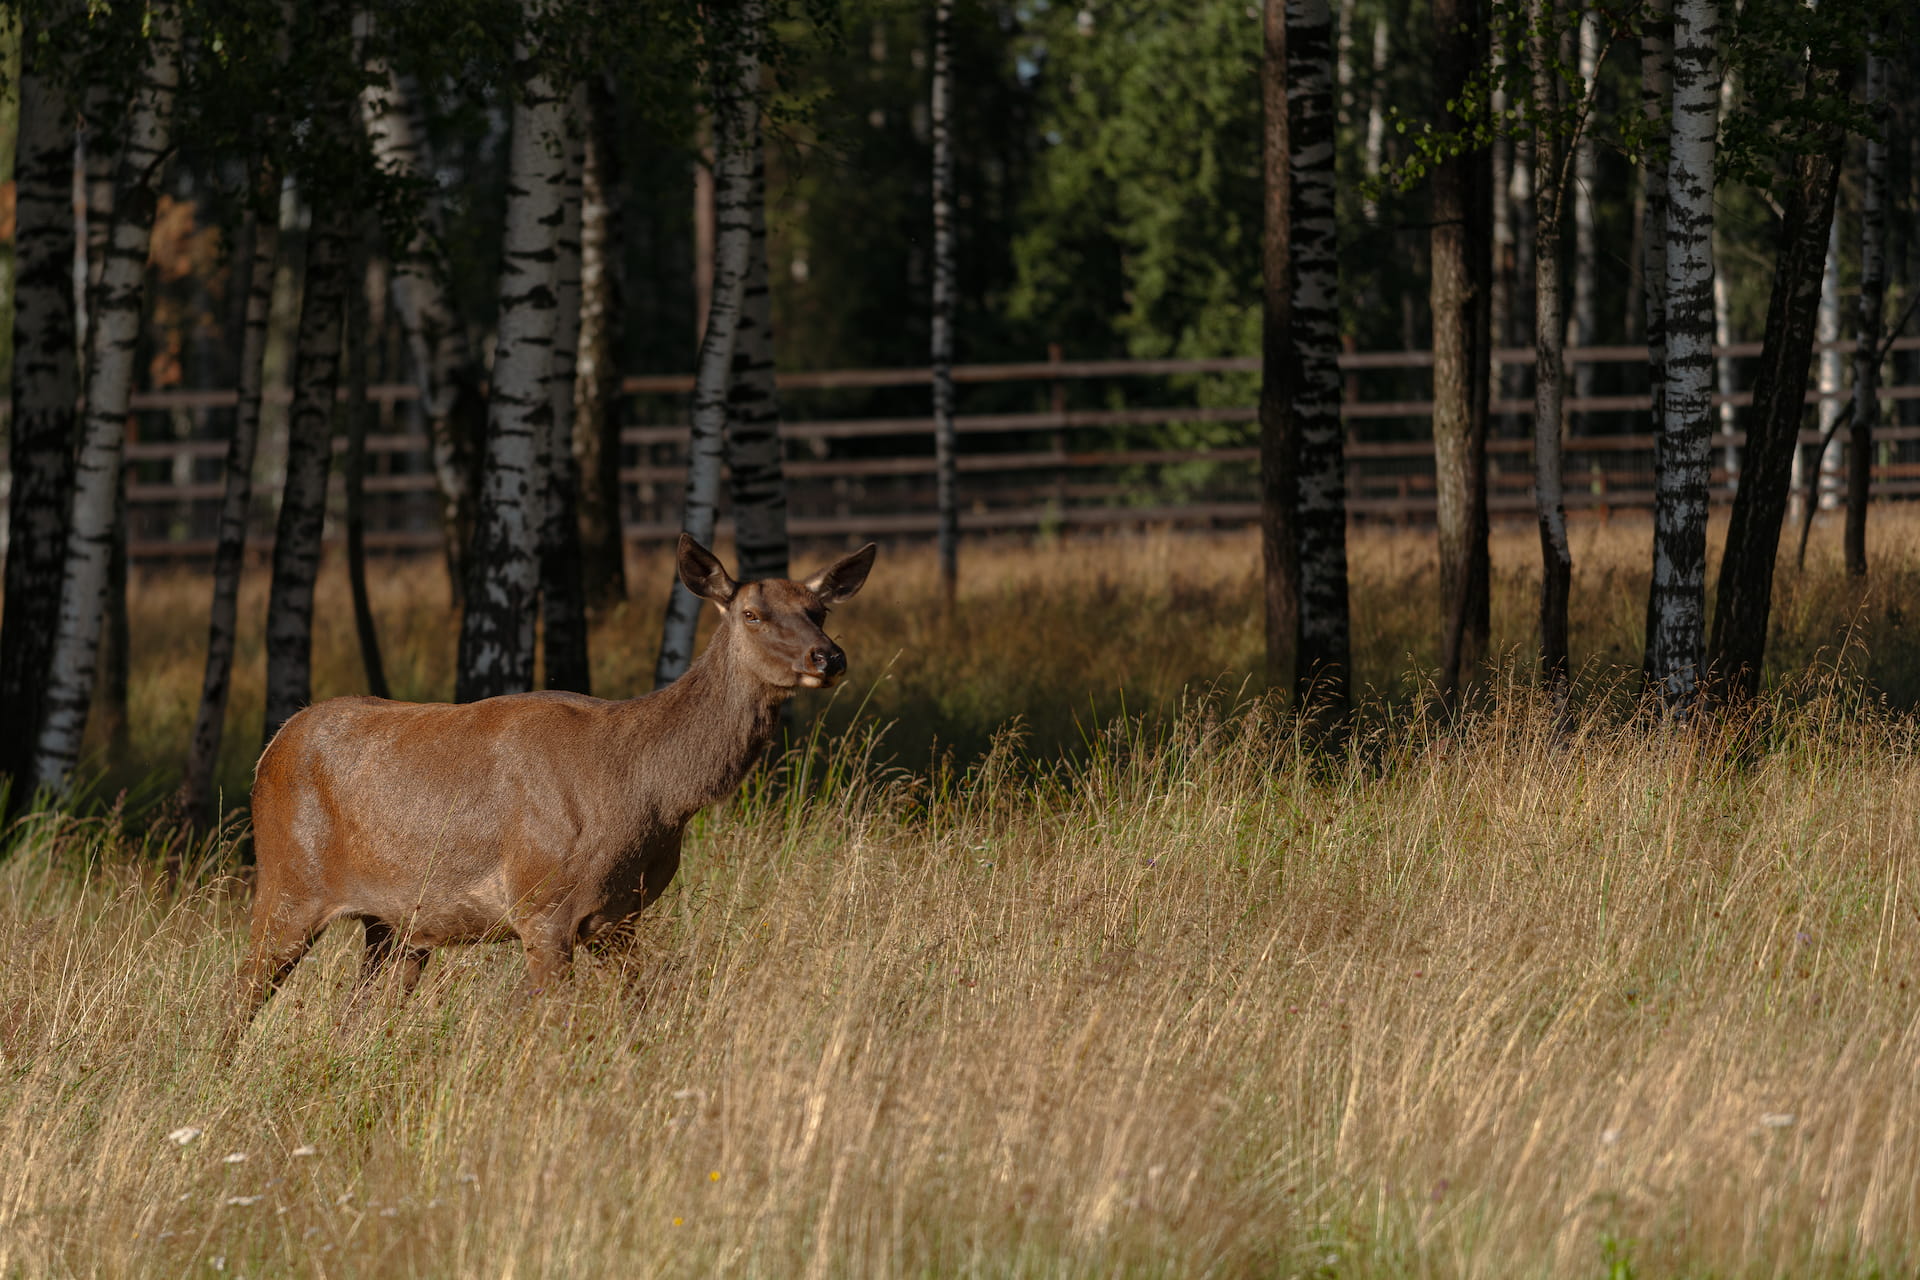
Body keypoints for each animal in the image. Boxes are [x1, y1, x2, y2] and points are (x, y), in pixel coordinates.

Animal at [232, 537, 879, 1028]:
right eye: (752, 614)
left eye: (819, 611)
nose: (828, 657)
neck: (649, 797)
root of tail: (270, 750)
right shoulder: (541, 906)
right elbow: (554, 1029)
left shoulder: (622, 917)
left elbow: (642, 1012)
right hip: (286, 883)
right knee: (238, 996)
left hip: (391, 924)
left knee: (354, 1016)